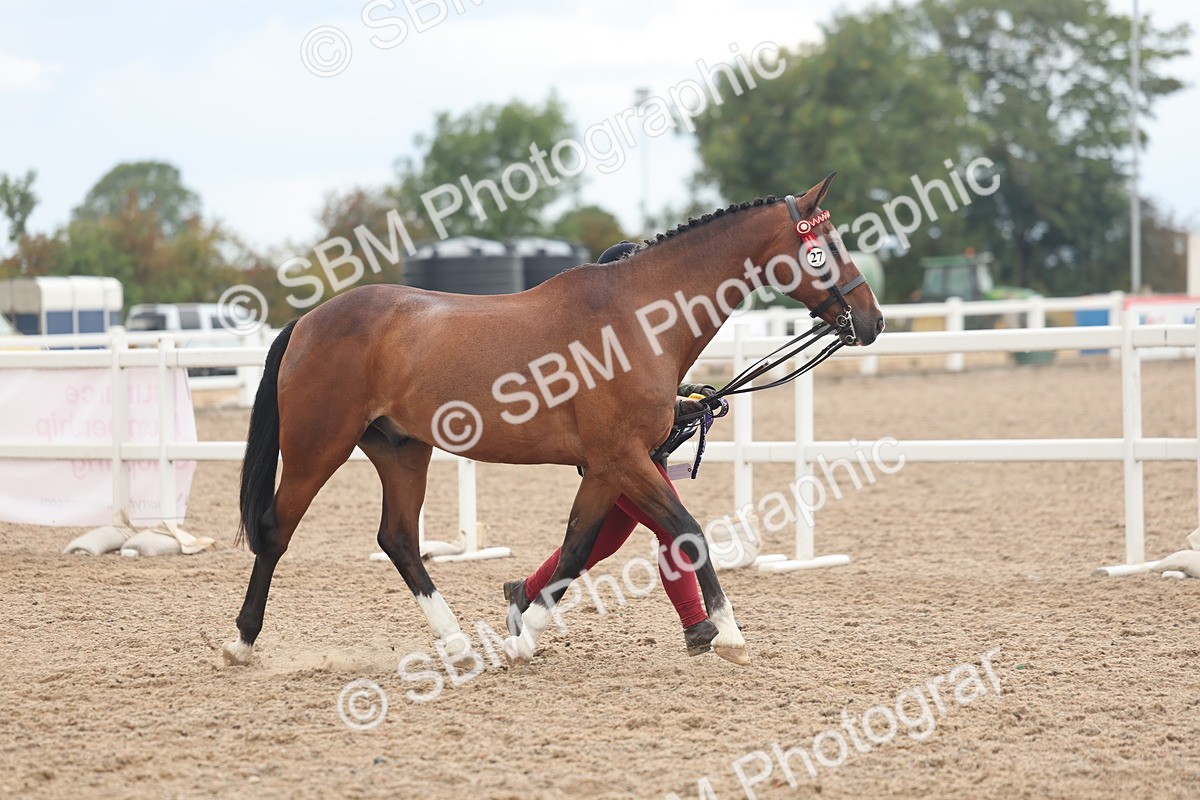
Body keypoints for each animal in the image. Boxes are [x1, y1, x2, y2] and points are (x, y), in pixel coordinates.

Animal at [221, 173, 884, 669]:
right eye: (826, 245)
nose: (871, 320)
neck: (637, 318)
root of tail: (308, 321)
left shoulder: (607, 468)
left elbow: (576, 546)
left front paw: (523, 634)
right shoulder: (623, 460)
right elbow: (686, 531)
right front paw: (731, 635)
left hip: (401, 450)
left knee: (400, 540)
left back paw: (458, 644)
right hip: (317, 448)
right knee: (276, 530)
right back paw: (241, 642)